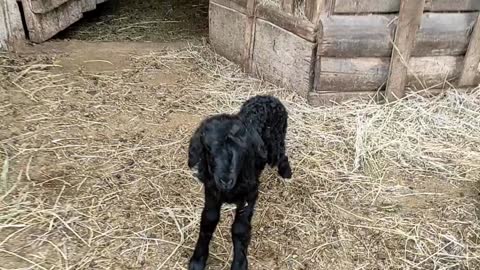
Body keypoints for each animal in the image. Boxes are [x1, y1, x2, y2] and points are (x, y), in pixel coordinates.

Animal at [188, 95, 292, 270]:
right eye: (208, 149)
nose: (225, 180)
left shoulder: (250, 193)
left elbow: (240, 228)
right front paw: (197, 261)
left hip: (276, 139)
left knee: (281, 153)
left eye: (243, 151)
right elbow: (208, 220)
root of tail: (269, 96)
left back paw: (286, 172)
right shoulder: (211, 192)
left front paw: (239, 263)